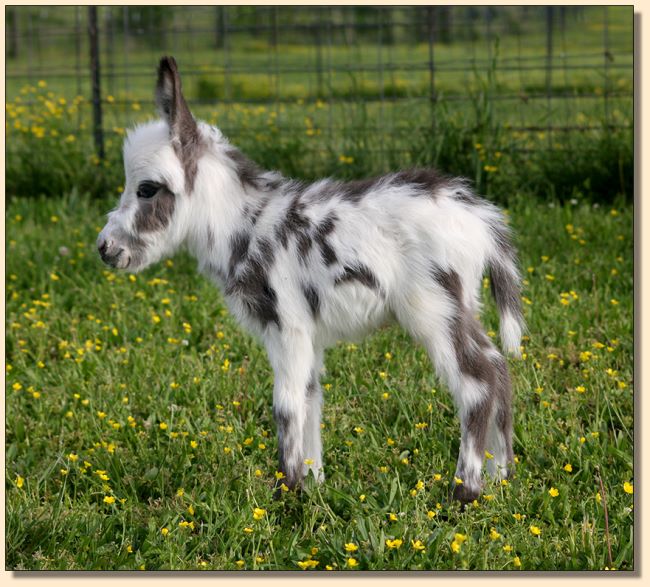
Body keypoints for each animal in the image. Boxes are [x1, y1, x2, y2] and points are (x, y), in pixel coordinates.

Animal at [97, 57, 520, 504]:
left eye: (147, 189)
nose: (105, 248)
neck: (245, 225)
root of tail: (480, 217)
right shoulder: (308, 335)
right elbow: (310, 399)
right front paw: (313, 485)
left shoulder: (287, 326)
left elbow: (284, 405)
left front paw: (287, 493)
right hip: (463, 306)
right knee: (498, 368)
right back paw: (500, 475)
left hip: (433, 309)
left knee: (477, 382)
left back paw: (464, 490)